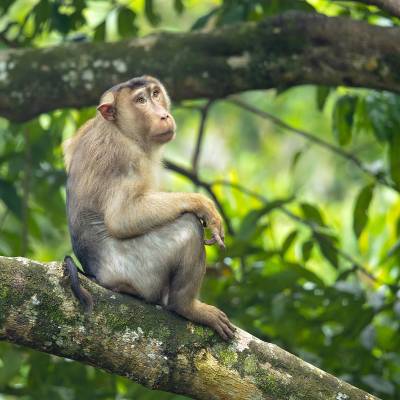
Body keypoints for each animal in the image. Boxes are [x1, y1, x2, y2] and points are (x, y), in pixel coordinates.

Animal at [63, 76, 236, 340]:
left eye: (155, 94)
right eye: (140, 100)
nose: (163, 115)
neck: (119, 128)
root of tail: (96, 274)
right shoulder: (123, 154)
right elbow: (121, 217)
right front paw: (203, 205)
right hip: (138, 271)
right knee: (187, 226)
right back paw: (185, 306)